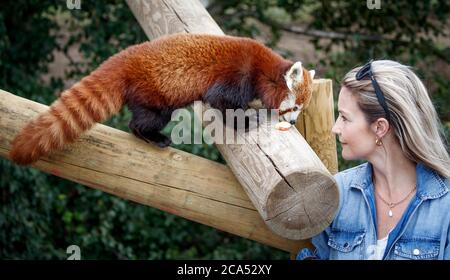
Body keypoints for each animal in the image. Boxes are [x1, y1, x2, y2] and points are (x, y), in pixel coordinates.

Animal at [8, 33, 314, 165]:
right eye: (295, 107)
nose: (294, 122)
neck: (264, 69)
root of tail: (125, 58)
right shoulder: (237, 75)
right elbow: (222, 103)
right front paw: (250, 120)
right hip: (155, 93)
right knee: (146, 119)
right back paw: (153, 137)